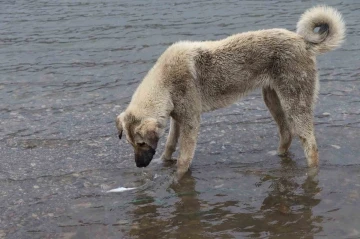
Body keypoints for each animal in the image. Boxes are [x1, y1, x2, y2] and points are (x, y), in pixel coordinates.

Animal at [116, 5, 346, 179]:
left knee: (311, 146)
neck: (165, 82)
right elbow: (170, 145)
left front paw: (176, 179)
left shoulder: (190, 121)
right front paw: (164, 162)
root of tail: (303, 42)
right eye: (131, 144)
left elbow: (184, 157)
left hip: (295, 104)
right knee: (286, 133)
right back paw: (277, 154)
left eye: (141, 143)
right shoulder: (177, 118)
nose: (139, 166)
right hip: (272, 99)